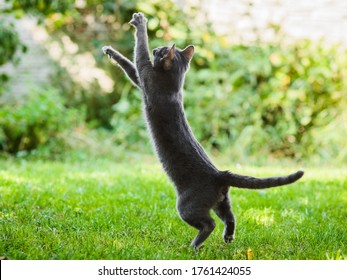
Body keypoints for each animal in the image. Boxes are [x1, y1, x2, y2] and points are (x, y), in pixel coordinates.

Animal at [102, 12, 304, 250]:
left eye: (160, 51)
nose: (157, 49)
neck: (174, 86)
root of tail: (219, 174)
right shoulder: (143, 81)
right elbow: (129, 67)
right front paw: (110, 51)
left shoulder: (146, 76)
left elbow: (137, 56)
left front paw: (139, 24)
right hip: (222, 201)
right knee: (230, 217)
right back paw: (228, 238)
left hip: (187, 205)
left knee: (209, 223)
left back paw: (194, 246)